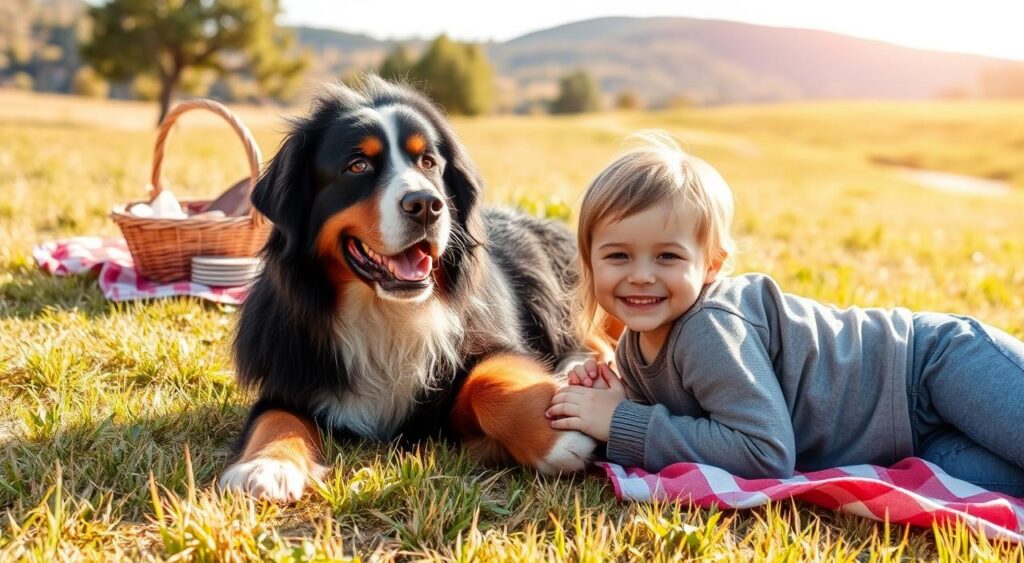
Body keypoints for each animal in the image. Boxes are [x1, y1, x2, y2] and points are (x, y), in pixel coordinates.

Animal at [219, 76, 610, 503]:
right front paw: (265, 467)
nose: (425, 204)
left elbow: (486, 378)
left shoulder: (482, 343)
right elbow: (276, 415)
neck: (384, 312)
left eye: (428, 162)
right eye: (358, 165)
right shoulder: (290, 369)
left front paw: (559, 438)